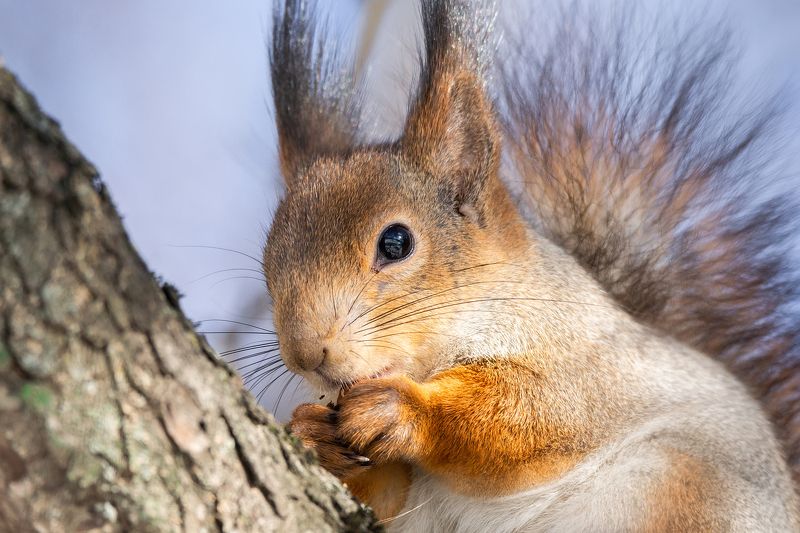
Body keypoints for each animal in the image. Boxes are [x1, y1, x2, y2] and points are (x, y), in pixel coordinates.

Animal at [262, 0, 800, 530]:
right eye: (267, 267)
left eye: (396, 243)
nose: (306, 355)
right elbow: (384, 496)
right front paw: (311, 433)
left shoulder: (585, 359)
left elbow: (536, 410)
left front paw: (403, 409)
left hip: (691, 487)